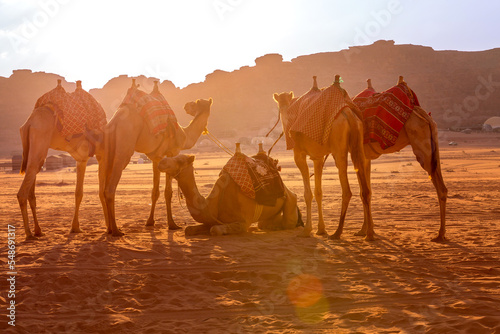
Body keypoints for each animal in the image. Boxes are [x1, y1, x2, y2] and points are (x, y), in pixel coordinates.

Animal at [17, 79, 106, 239]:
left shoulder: (81, 159)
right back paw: (28, 233)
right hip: (40, 143)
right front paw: (109, 229)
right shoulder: (99, 154)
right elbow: (99, 191)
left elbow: (78, 193)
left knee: (31, 184)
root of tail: (29, 122)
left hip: (33, 149)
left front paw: (75, 227)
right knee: (23, 192)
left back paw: (38, 230)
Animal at [98, 79, 212, 236]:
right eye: (197, 101)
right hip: (124, 149)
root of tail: (115, 120)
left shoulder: (156, 158)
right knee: (110, 188)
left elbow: (155, 192)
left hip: (106, 151)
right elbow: (168, 192)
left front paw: (150, 222)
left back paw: (109, 228)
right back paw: (116, 230)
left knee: (102, 189)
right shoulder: (172, 152)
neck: (184, 135)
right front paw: (172, 224)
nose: (187, 105)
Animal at [158, 147, 302, 236]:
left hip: (290, 201)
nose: (161, 162)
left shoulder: (243, 222)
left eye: (180, 160)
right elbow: (189, 229)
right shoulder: (213, 219)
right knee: (264, 223)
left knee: (288, 221)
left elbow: (215, 230)